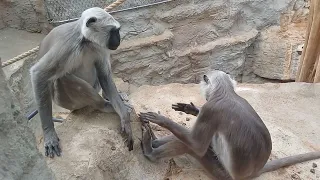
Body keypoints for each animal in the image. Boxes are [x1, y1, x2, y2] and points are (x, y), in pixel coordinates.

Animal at [30, 7, 133, 158]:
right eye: (114, 31)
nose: (118, 39)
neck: (85, 41)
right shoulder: (67, 45)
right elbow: (39, 74)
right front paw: (49, 134)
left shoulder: (98, 47)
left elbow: (104, 76)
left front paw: (124, 117)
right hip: (66, 101)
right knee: (64, 77)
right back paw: (103, 105)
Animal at [139, 69, 320, 179]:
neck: (227, 93)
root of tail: (252, 172)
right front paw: (191, 109)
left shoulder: (211, 109)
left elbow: (196, 144)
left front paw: (160, 120)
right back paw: (154, 140)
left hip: (219, 170)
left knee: (191, 146)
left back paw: (150, 151)